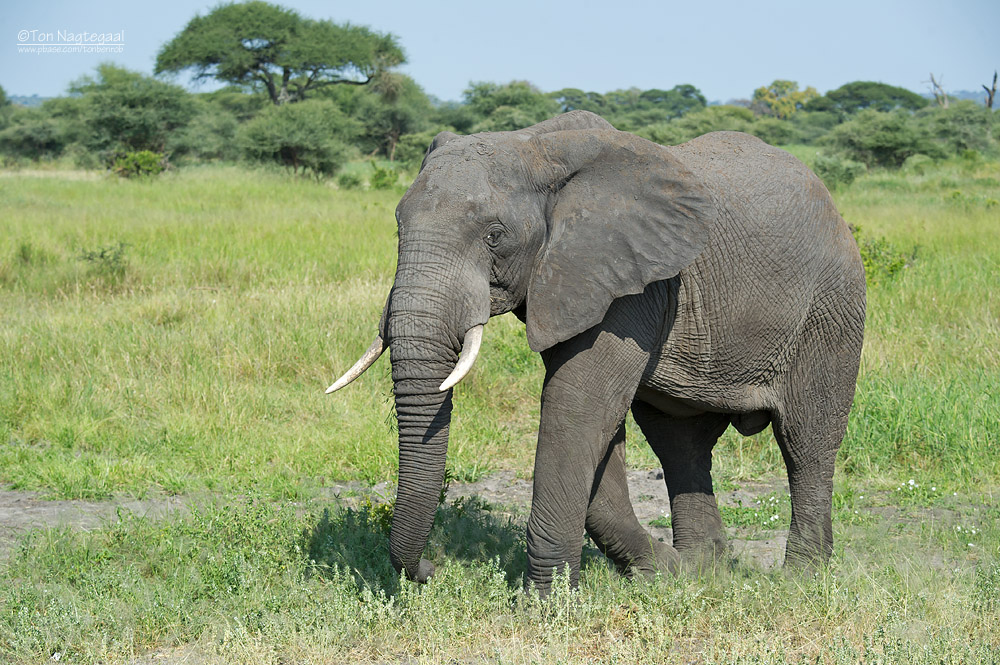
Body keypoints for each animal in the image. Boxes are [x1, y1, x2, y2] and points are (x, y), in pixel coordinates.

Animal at [330, 109, 868, 592]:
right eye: (398, 228)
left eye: (495, 236)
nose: (430, 571)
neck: (536, 143)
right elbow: (598, 425)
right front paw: (660, 574)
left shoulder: (625, 280)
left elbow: (576, 406)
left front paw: (547, 606)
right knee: (681, 444)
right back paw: (703, 572)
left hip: (831, 306)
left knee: (806, 439)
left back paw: (800, 580)